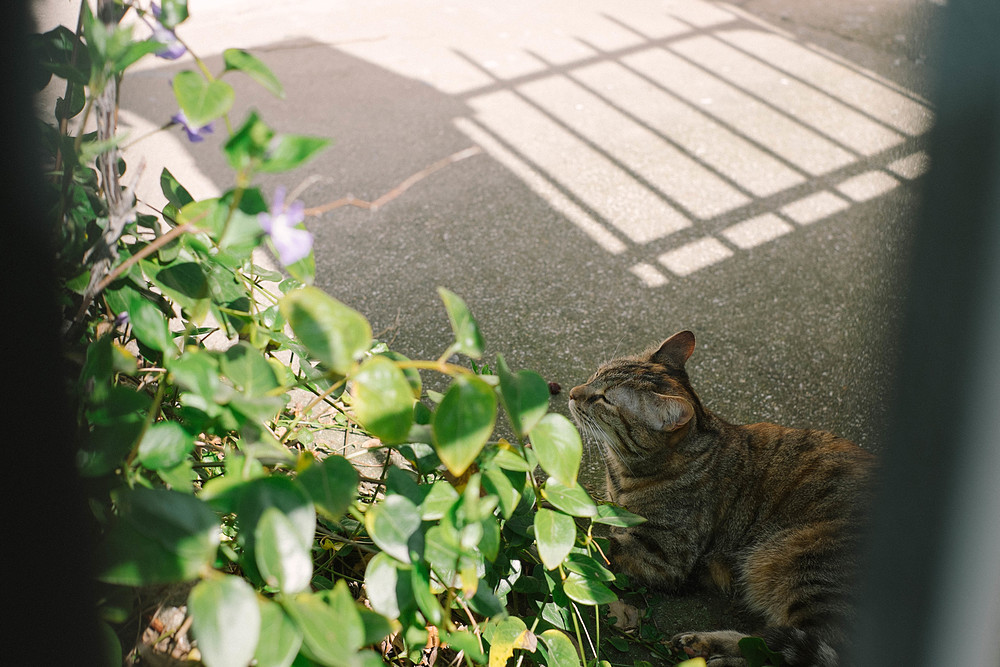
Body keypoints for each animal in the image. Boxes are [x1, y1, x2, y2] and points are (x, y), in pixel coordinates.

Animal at [572, 332, 876, 664]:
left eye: (604, 399)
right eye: (596, 374)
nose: (573, 393)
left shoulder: (664, 555)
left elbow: (595, 542)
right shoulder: (609, 505)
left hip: (797, 563)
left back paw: (711, 648)